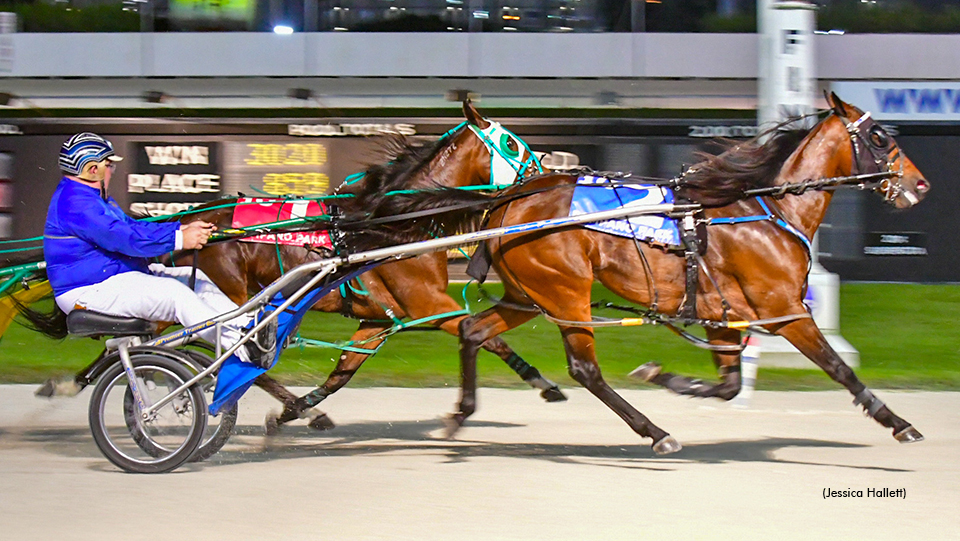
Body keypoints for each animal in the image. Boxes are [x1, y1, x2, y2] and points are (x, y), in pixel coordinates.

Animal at [176, 100, 564, 430]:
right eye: (510, 143)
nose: (544, 172)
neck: (395, 223)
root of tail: (186, 222)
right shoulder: (430, 305)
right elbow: (488, 338)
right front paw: (544, 383)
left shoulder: (378, 320)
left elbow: (342, 373)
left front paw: (294, 411)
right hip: (231, 295)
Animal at [436, 93, 928, 452]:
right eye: (879, 137)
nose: (920, 184)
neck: (768, 212)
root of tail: (509, 202)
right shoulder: (784, 310)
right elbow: (839, 368)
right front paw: (897, 422)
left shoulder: (724, 317)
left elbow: (729, 387)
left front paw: (667, 377)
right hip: (564, 290)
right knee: (584, 369)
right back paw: (655, 432)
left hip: (528, 294)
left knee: (474, 331)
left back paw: (460, 413)